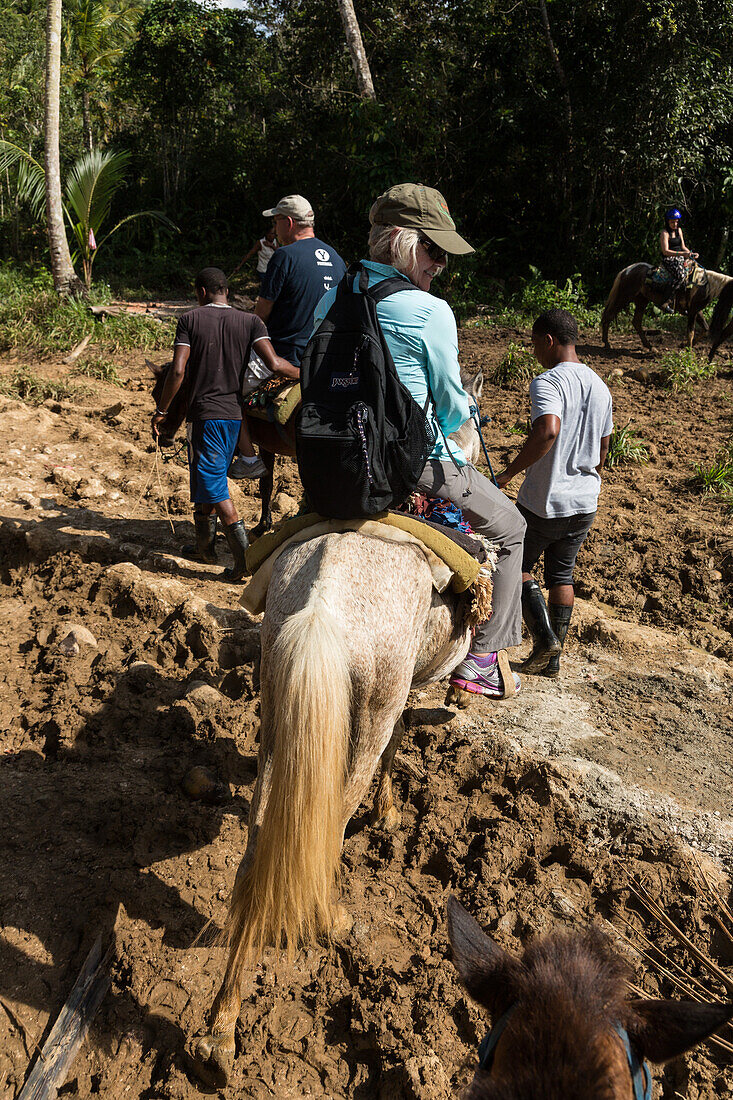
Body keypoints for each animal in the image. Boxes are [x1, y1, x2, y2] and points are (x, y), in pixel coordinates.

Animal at [188, 367, 484, 1082]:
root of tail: (325, 604)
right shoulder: (399, 697)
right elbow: (398, 747)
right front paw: (392, 814)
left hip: (278, 711)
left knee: (265, 841)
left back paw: (221, 1032)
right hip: (362, 714)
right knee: (328, 821)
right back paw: (332, 920)